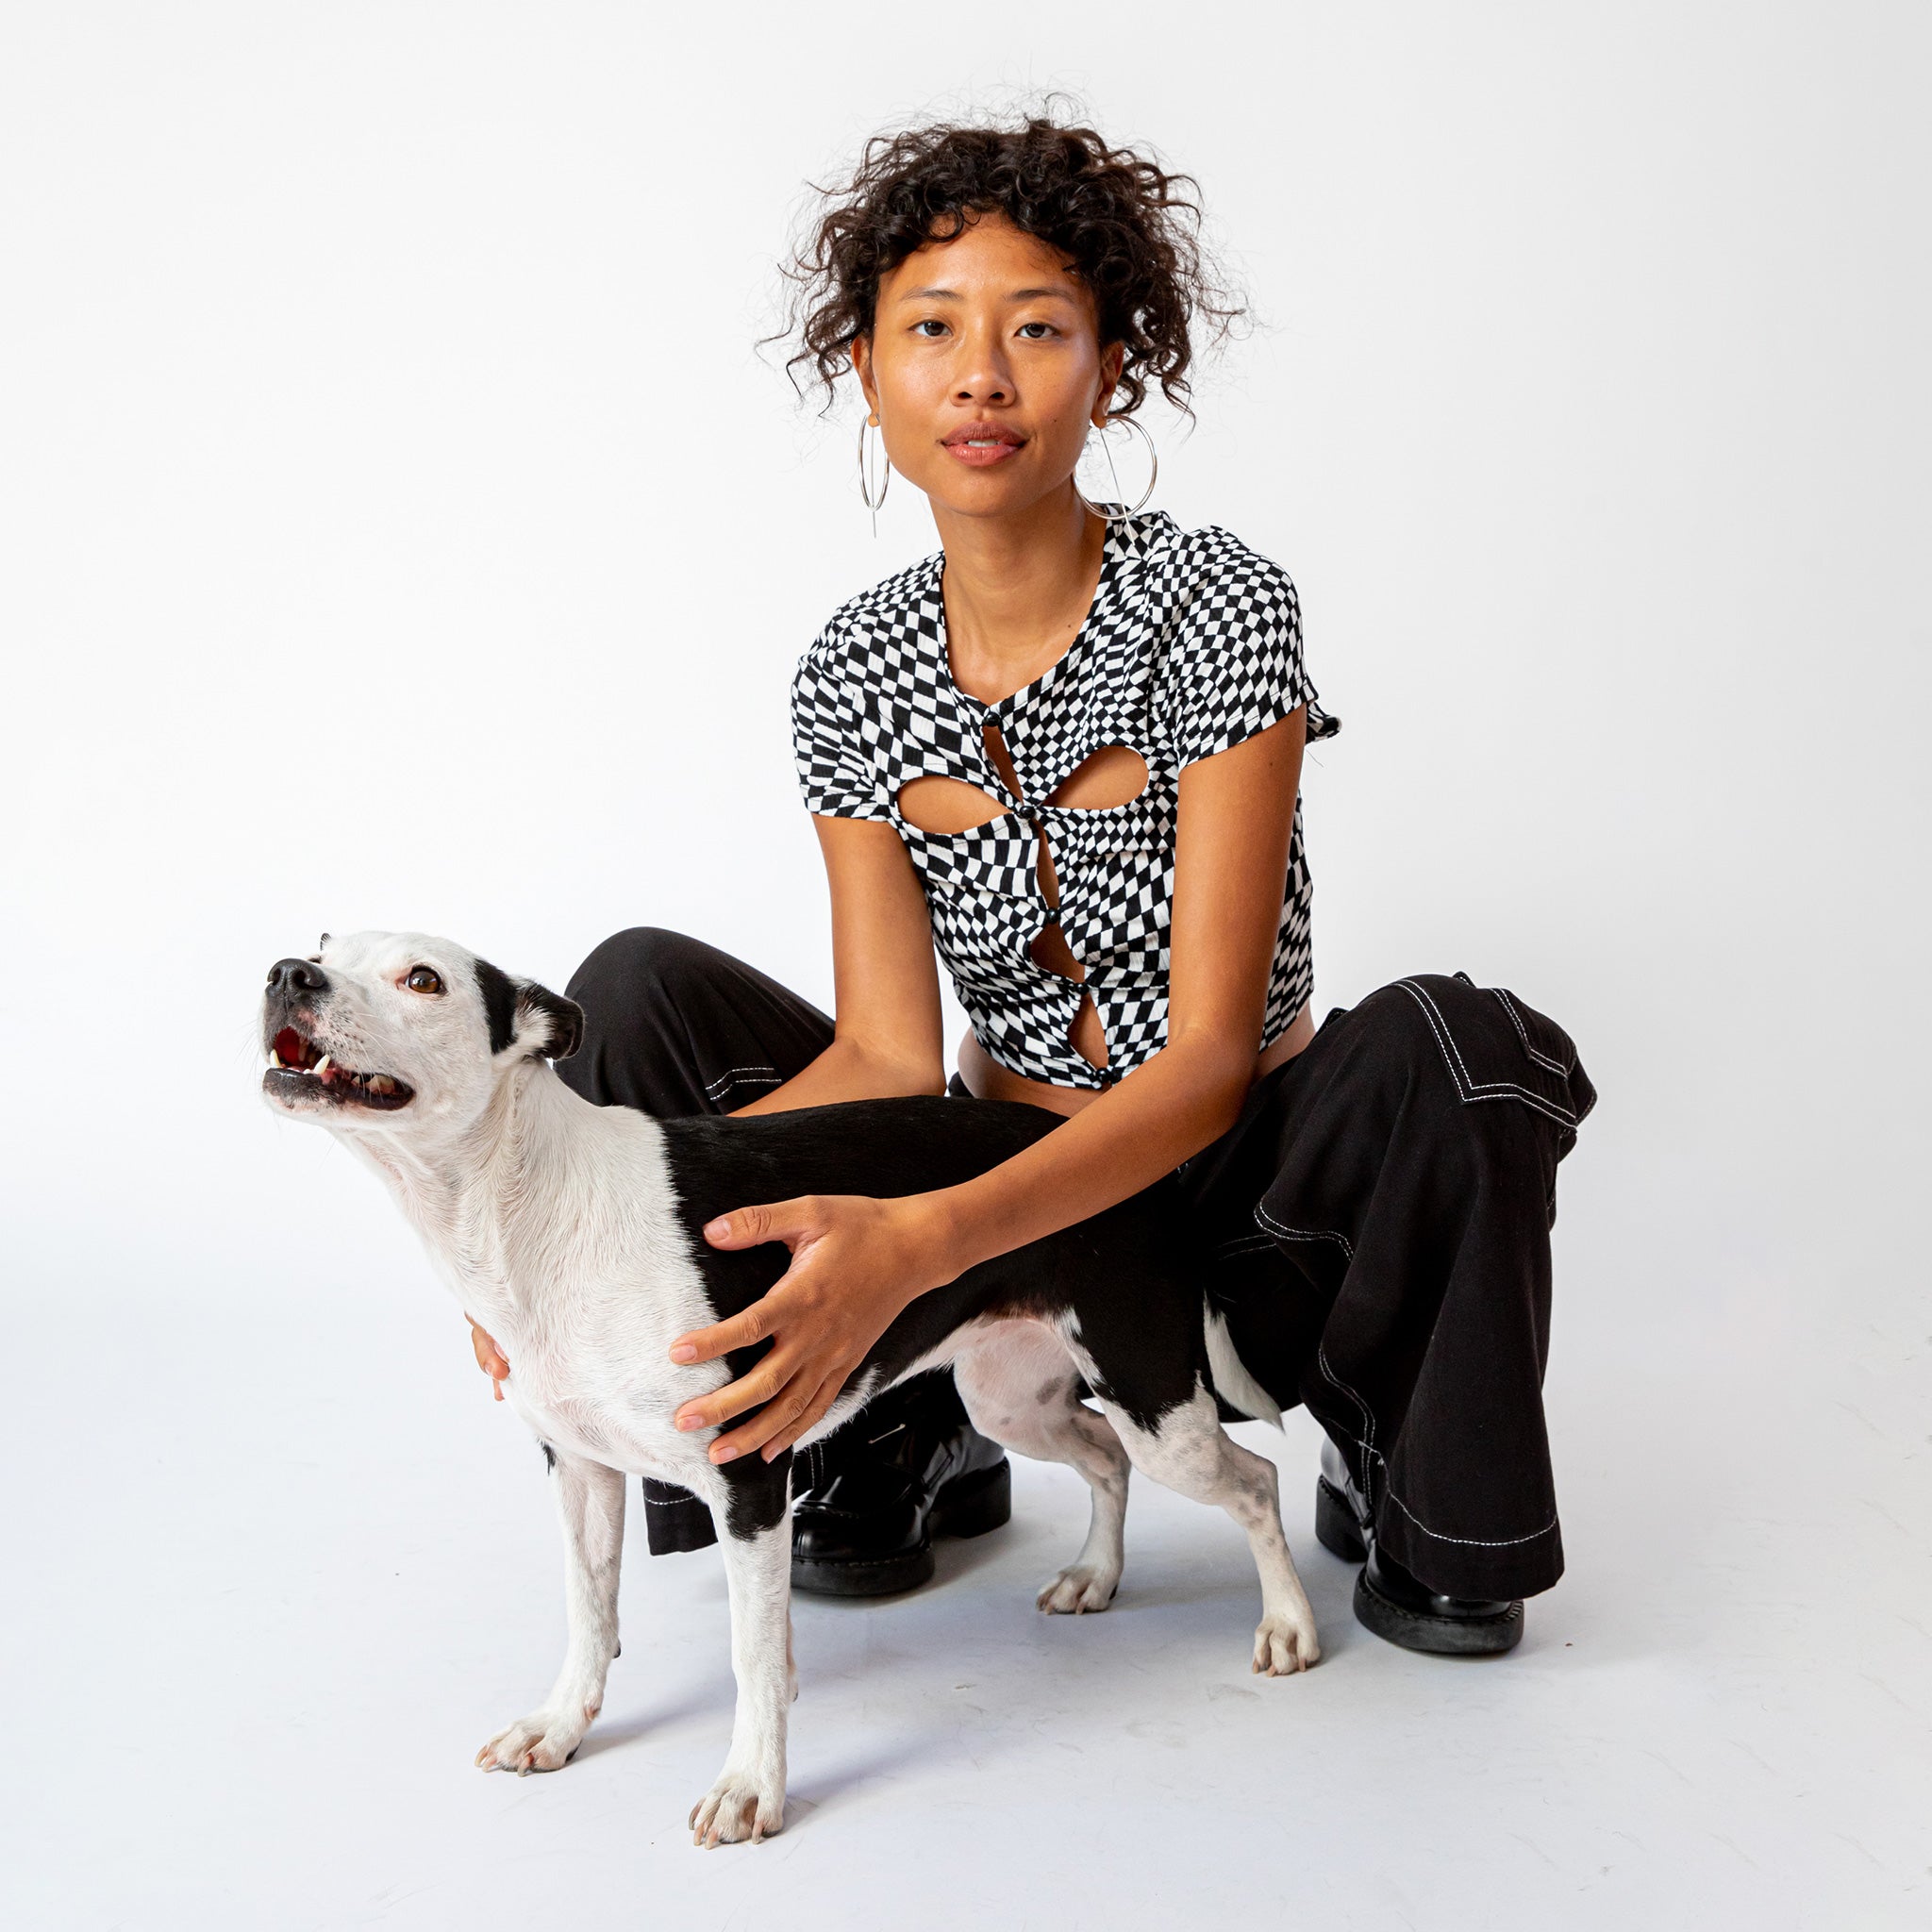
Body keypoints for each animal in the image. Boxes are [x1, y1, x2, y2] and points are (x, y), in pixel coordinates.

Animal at [257, 931, 1321, 1839]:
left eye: (422, 979)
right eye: (323, 946)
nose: (284, 972)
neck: (530, 1211)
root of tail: (1136, 1175)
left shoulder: (747, 1477)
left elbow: (751, 1652)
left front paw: (749, 1786)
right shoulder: (582, 1472)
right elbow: (590, 1613)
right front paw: (561, 1726)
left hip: (1154, 1400)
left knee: (1252, 1480)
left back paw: (1288, 1624)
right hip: (1012, 1396)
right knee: (1104, 1458)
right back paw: (1096, 1574)